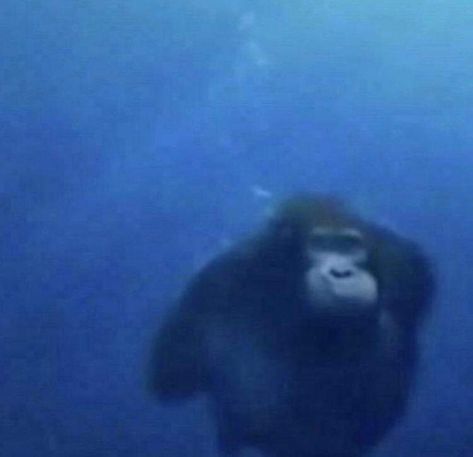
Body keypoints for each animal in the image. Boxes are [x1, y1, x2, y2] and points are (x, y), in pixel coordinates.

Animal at [149, 194, 434, 456]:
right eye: (319, 244)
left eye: (350, 245)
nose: (342, 273)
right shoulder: (216, 280)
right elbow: (171, 374)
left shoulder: (403, 260)